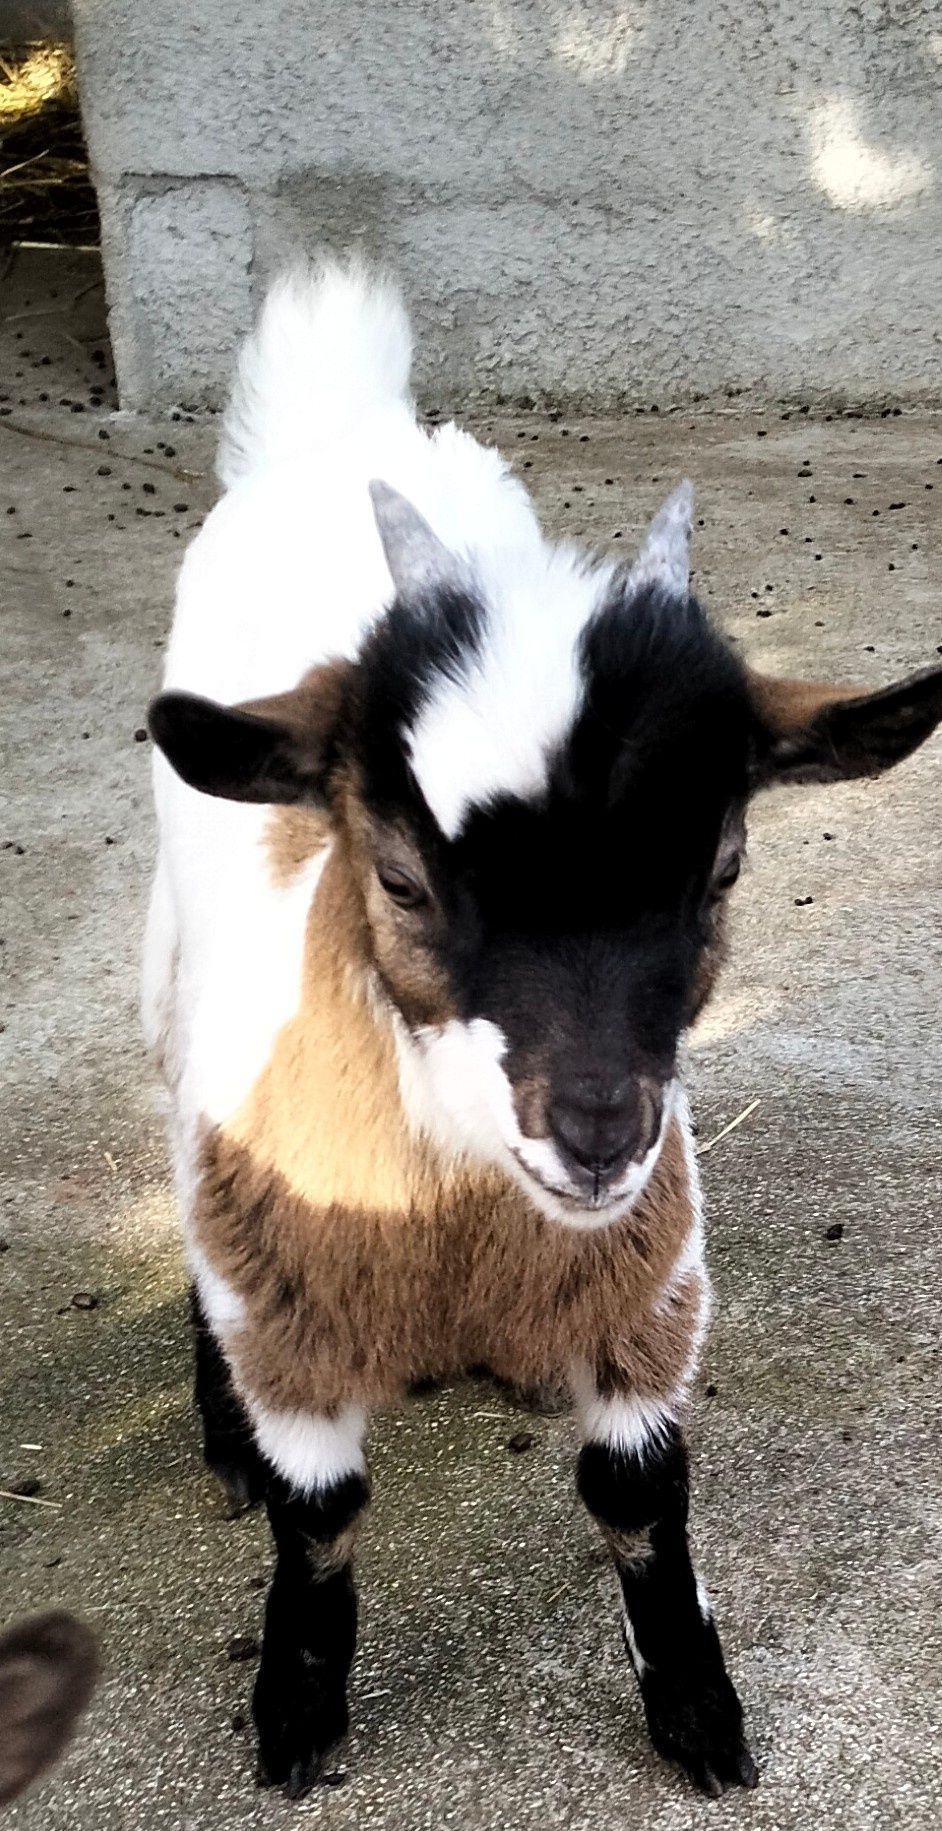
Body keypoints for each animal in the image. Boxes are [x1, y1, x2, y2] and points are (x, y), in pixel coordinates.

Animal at [144, 258, 938, 1801]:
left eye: (722, 868)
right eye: (398, 877)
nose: (597, 1133)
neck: (457, 1223)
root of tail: (337, 416)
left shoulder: (645, 1280)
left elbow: (637, 1493)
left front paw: (698, 1714)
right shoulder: (290, 1289)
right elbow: (316, 1511)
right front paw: (295, 1712)